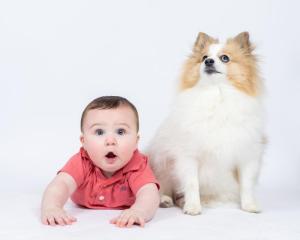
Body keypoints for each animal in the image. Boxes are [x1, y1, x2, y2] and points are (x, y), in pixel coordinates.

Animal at [148, 32, 264, 216]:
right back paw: (165, 199)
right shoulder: (188, 155)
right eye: (203, 57)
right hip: (161, 163)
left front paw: (249, 206)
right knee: (163, 187)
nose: (208, 61)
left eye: (225, 58)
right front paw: (193, 206)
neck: (217, 94)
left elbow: (246, 185)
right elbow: (192, 183)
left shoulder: (247, 154)